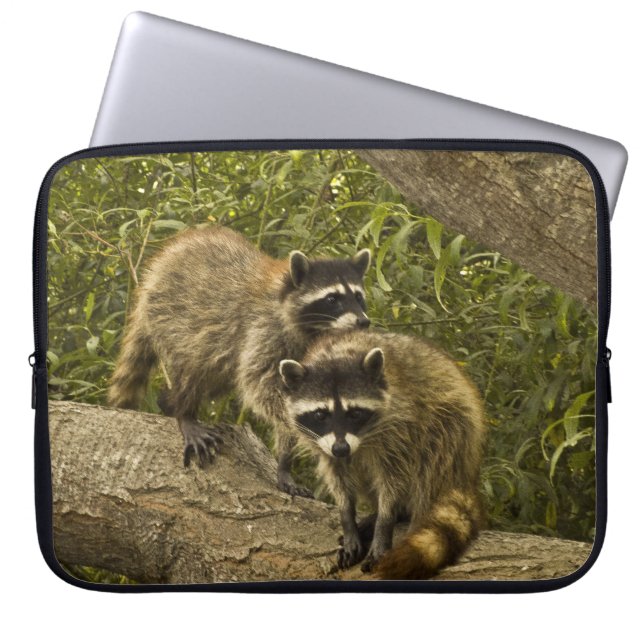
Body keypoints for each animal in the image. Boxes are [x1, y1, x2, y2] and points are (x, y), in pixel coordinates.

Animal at [108, 225, 371, 496]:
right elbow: (261, 386)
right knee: (194, 363)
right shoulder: (263, 329)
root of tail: (151, 278)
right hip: (172, 315)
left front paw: (284, 462)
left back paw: (167, 402)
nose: (363, 321)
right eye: (332, 299)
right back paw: (184, 411)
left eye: (358, 297)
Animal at [279, 330, 486, 578]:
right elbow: (339, 478)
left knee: (433, 458)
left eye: (355, 413)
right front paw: (348, 519)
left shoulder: (400, 427)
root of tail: (468, 473)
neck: (336, 355)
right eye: (320, 414)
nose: (342, 449)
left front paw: (384, 523)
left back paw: (408, 512)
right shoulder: (325, 444)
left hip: (453, 425)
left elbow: (393, 480)